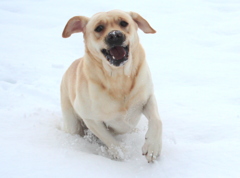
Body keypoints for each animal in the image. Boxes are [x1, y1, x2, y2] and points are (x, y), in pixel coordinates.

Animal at [61, 9, 162, 163]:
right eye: (99, 28)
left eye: (123, 23)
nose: (115, 35)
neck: (119, 78)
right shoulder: (90, 118)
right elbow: (109, 139)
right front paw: (122, 154)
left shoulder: (147, 97)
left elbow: (157, 120)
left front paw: (152, 147)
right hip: (72, 123)